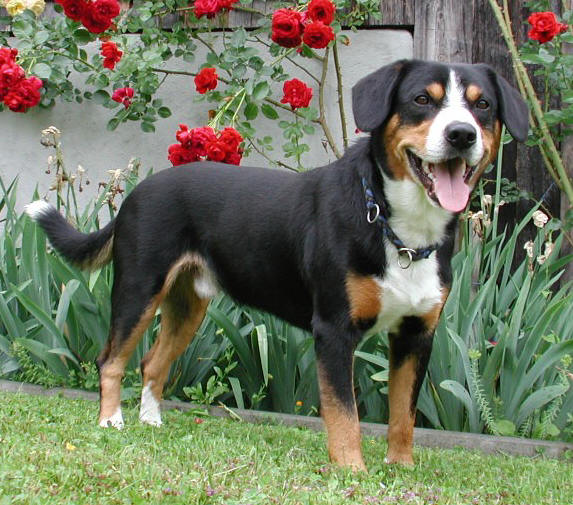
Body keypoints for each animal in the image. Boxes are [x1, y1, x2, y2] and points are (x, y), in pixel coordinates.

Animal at [26, 61, 528, 470]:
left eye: (482, 105)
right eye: (423, 99)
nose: (461, 134)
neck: (398, 229)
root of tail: (138, 191)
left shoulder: (416, 334)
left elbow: (403, 414)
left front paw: (400, 468)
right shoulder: (334, 330)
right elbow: (344, 413)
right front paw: (353, 471)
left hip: (189, 305)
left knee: (152, 363)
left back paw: (150, 422)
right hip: (138, 289)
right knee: (111, 359)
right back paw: (111, 421)